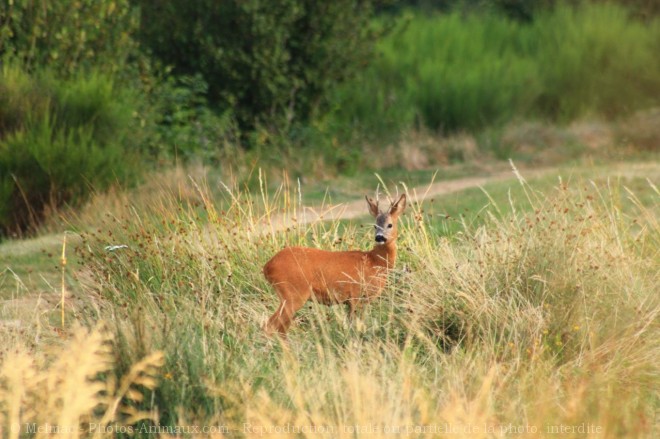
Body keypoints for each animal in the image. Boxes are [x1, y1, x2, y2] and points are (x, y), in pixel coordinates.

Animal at [262, 194, 408, 336]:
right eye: (375, 226)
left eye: (390, 225)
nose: (379, 237)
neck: (374, 262)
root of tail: (267, 266)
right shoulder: (356, 295)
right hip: (293, 292)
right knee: (270, 325)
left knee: (280, 328)